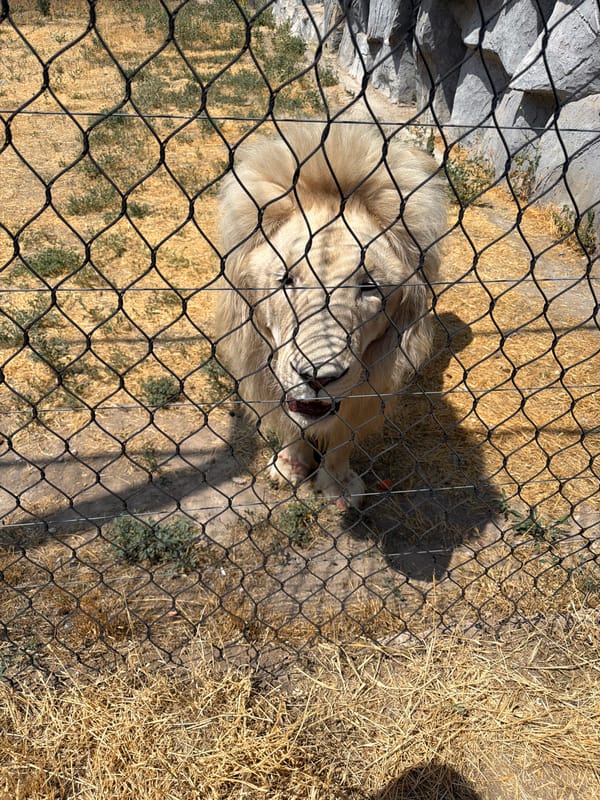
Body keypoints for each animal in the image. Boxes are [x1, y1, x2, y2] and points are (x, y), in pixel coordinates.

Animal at [216, 122, 446, 508]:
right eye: (287, 279)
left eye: (368, 287)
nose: (318, 378)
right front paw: (292, 466)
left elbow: (342, 436)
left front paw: (337, 486)